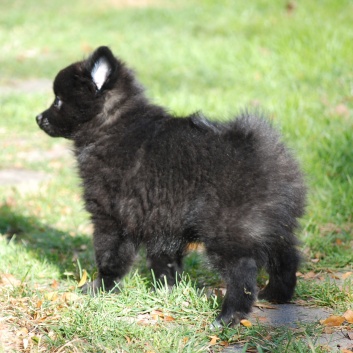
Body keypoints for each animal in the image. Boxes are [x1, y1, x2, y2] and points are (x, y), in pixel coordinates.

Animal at [36, 46, 306, 324]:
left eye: (58, 100)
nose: (38, 118)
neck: (110, 124)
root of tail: (264, 150)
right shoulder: (162, 219)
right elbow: (164, 261)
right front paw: (165, 291)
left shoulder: (111, 216)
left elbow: (110, 257)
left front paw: (100, 288)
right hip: (273, 224)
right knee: (286, 257)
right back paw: (276, 294)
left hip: (228, 229)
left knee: (242, 271)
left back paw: (229, 316)